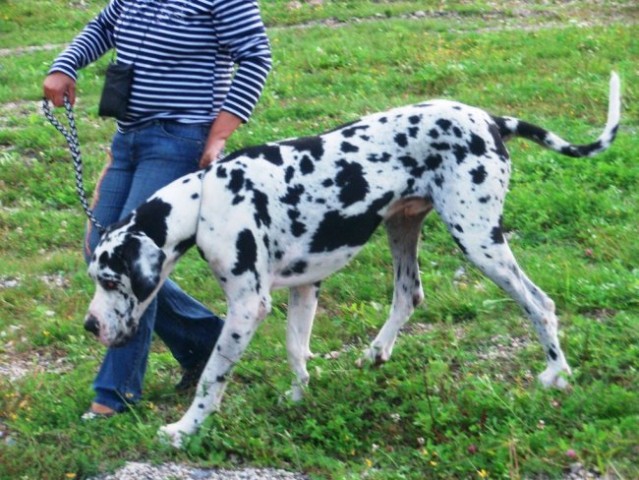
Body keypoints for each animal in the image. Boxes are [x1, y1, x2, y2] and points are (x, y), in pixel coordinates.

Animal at [84, 73, 620, 444]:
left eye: (110, 280)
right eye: (95, 275)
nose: (90, 326)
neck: (205, 200)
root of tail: (489, 119)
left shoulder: (247, 307)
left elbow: (212, 377)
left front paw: (184, 429)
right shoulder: (304, 287)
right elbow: (296, 351)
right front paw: (298, 397)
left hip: (479, 241)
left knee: (539, 304)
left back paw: (557, 376)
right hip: (403, 229)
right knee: (409, 295)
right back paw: (376, 352)